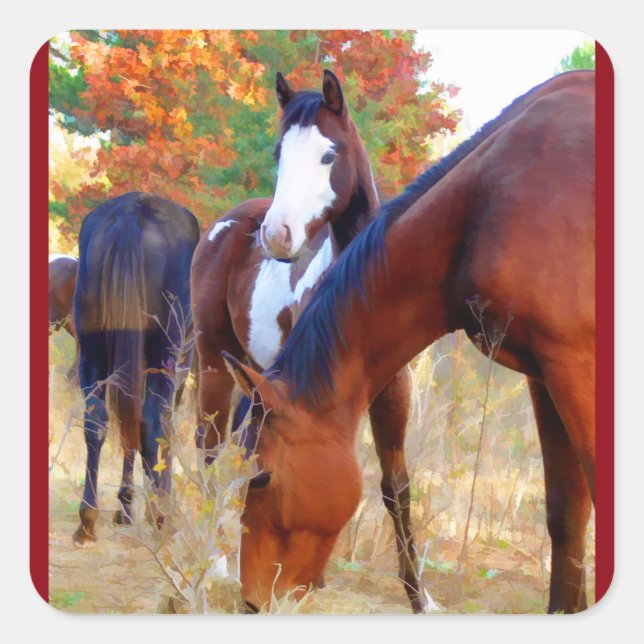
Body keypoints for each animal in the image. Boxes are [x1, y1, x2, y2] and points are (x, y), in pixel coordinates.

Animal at [72, 191, 199, 546]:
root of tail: (132, 212)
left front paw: (125, 508)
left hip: (92, 351)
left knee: (97, 422)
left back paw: (88, 519)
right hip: (164, 354)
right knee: (151, 422)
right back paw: (162, 515)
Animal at [191, 71, 424, 609]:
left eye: (328, 154)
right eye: (280, 152)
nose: (277, 235)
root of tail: (228, 223)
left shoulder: (390, 395)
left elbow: (395, 487)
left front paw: (419, 596)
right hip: (214, 362)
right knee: (209, 447)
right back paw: (215, 563)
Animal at [221, 71, 596, 613]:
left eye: (264, 476)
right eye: (277, 154)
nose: (252, 600)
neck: (486, 207)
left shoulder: (573, 366)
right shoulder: (545, 375)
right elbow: (567, 514)